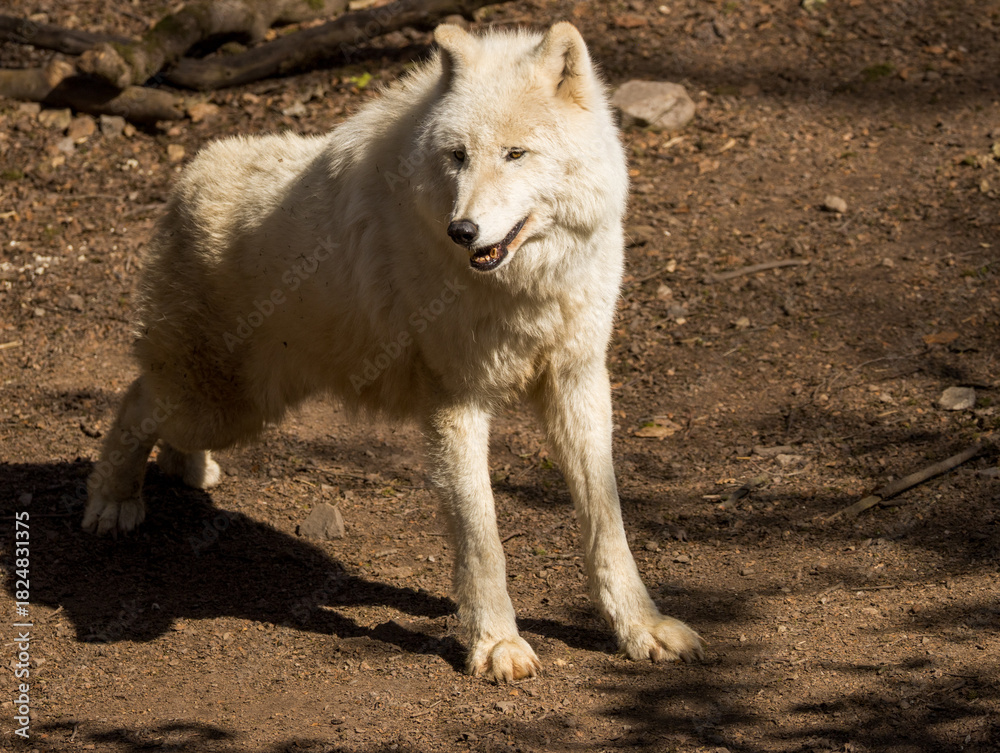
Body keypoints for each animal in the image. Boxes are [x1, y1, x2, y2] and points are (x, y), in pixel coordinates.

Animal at [83, 22, 704, 681]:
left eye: (515, 154)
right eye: (457, 156)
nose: (462, 231)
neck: (523, 287)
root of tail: (189, 174)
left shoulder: (578, 380)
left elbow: (606, 522)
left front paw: (640, 628)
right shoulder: (456, 403)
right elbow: (481, 538)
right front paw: (496, 644)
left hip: (236, 405)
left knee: (156, 408)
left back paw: (187, 471)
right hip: (224, 405)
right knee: (136, 399)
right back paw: (113, 502)